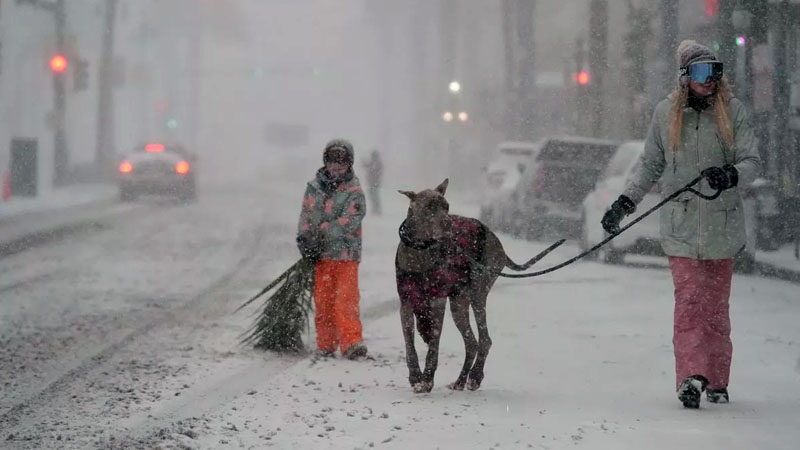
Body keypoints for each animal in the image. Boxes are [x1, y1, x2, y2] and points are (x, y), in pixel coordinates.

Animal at [396, 179, 540, 394]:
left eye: (446, 206)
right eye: (429, 207)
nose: (448, 223)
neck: (420, 252)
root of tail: (497, 241)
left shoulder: (437, 301)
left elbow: (434, 345)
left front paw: (427, 378)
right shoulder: (406, 302)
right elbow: (409, 345)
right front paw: (416, 378)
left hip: (478, 292)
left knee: (484, 340)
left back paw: (475, 377)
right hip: (459, 302)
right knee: (472, 342)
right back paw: (460, 380)